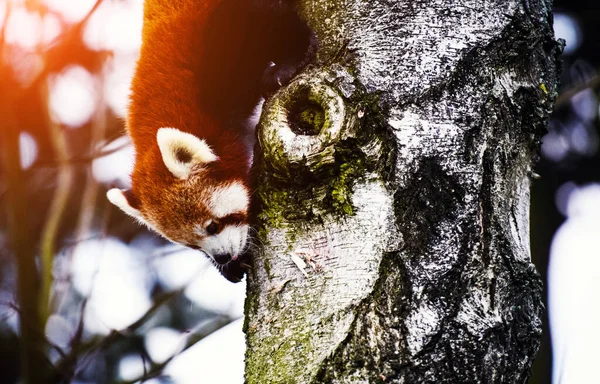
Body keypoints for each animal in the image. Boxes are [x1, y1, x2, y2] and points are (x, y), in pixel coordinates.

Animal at [106, 0, 316, 282]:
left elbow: (268, 20)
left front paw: (290, 61)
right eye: (191, 245)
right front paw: (232, 268)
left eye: (212, 226)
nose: (223, 257)